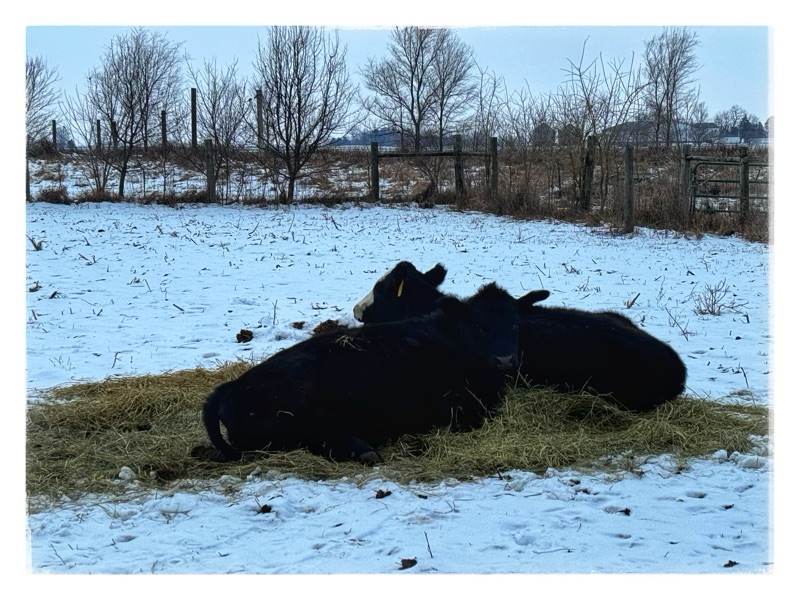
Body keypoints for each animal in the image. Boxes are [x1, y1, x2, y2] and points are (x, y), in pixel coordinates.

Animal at [204, 282, 521, 464]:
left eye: (514, 323)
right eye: (478, 325)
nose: (505, 359)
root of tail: (229, 388)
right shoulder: (461, 410)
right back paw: (364, 450)